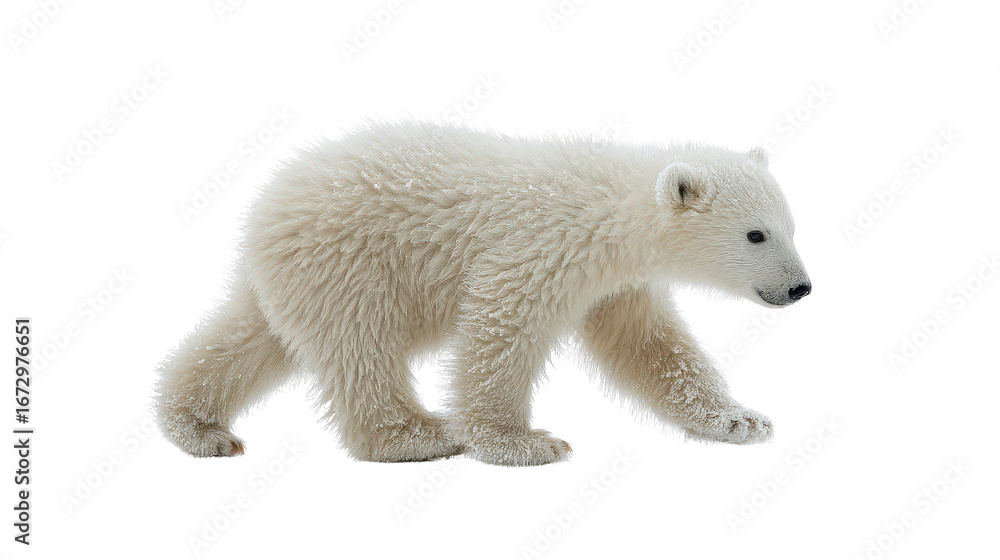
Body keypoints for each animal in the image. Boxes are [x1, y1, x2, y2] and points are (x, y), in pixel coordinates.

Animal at [154, 120, 811, 467]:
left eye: (792, 224)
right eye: (756, 233)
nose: (801, 287)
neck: (611, 207)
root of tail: (267, 204)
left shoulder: (616, 286)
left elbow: (651, 349)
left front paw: (740, 420)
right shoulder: (542, 245)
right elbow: (502, 328)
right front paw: (525, 442)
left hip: (291, 276)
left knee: (248, 335)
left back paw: (198, 426)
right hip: (350, 263)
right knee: (362, 347)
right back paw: (421, 435)